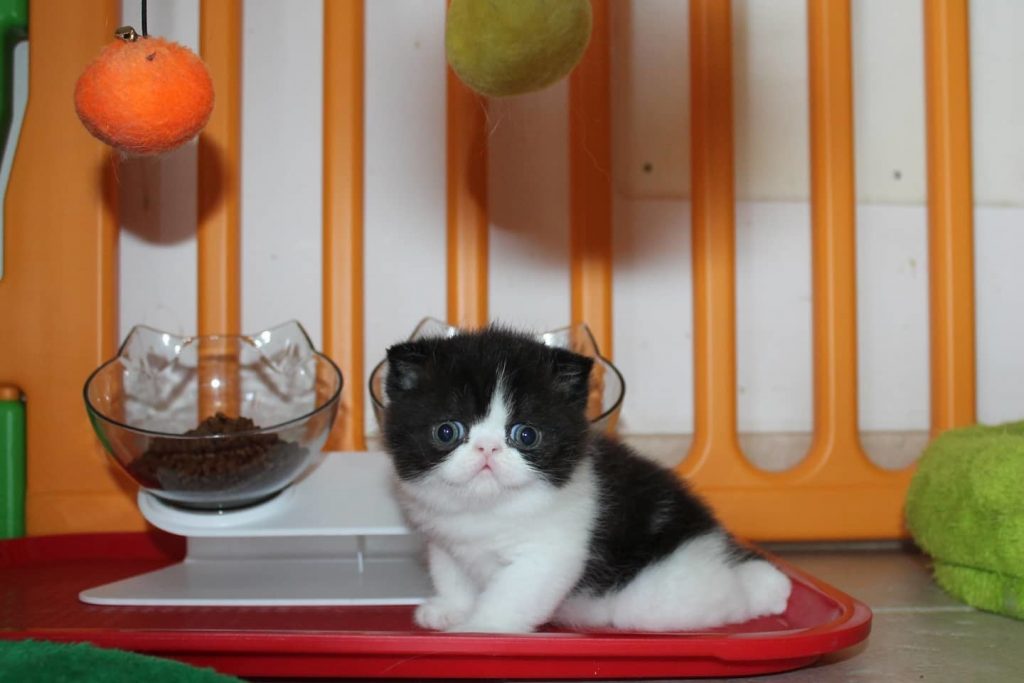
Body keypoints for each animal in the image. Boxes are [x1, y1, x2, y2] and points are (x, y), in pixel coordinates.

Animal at [385, 327, 790, 634]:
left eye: (526, 435)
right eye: (447, 431)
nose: (488, 448)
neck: (489, 507)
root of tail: (715, 540)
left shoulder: (548, 553)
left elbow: (511, 596)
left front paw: (480, 629)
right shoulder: (446, 541)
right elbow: (452, 576)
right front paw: (451, 609)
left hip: (654, 598)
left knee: (717, 600)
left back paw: (763, 590)